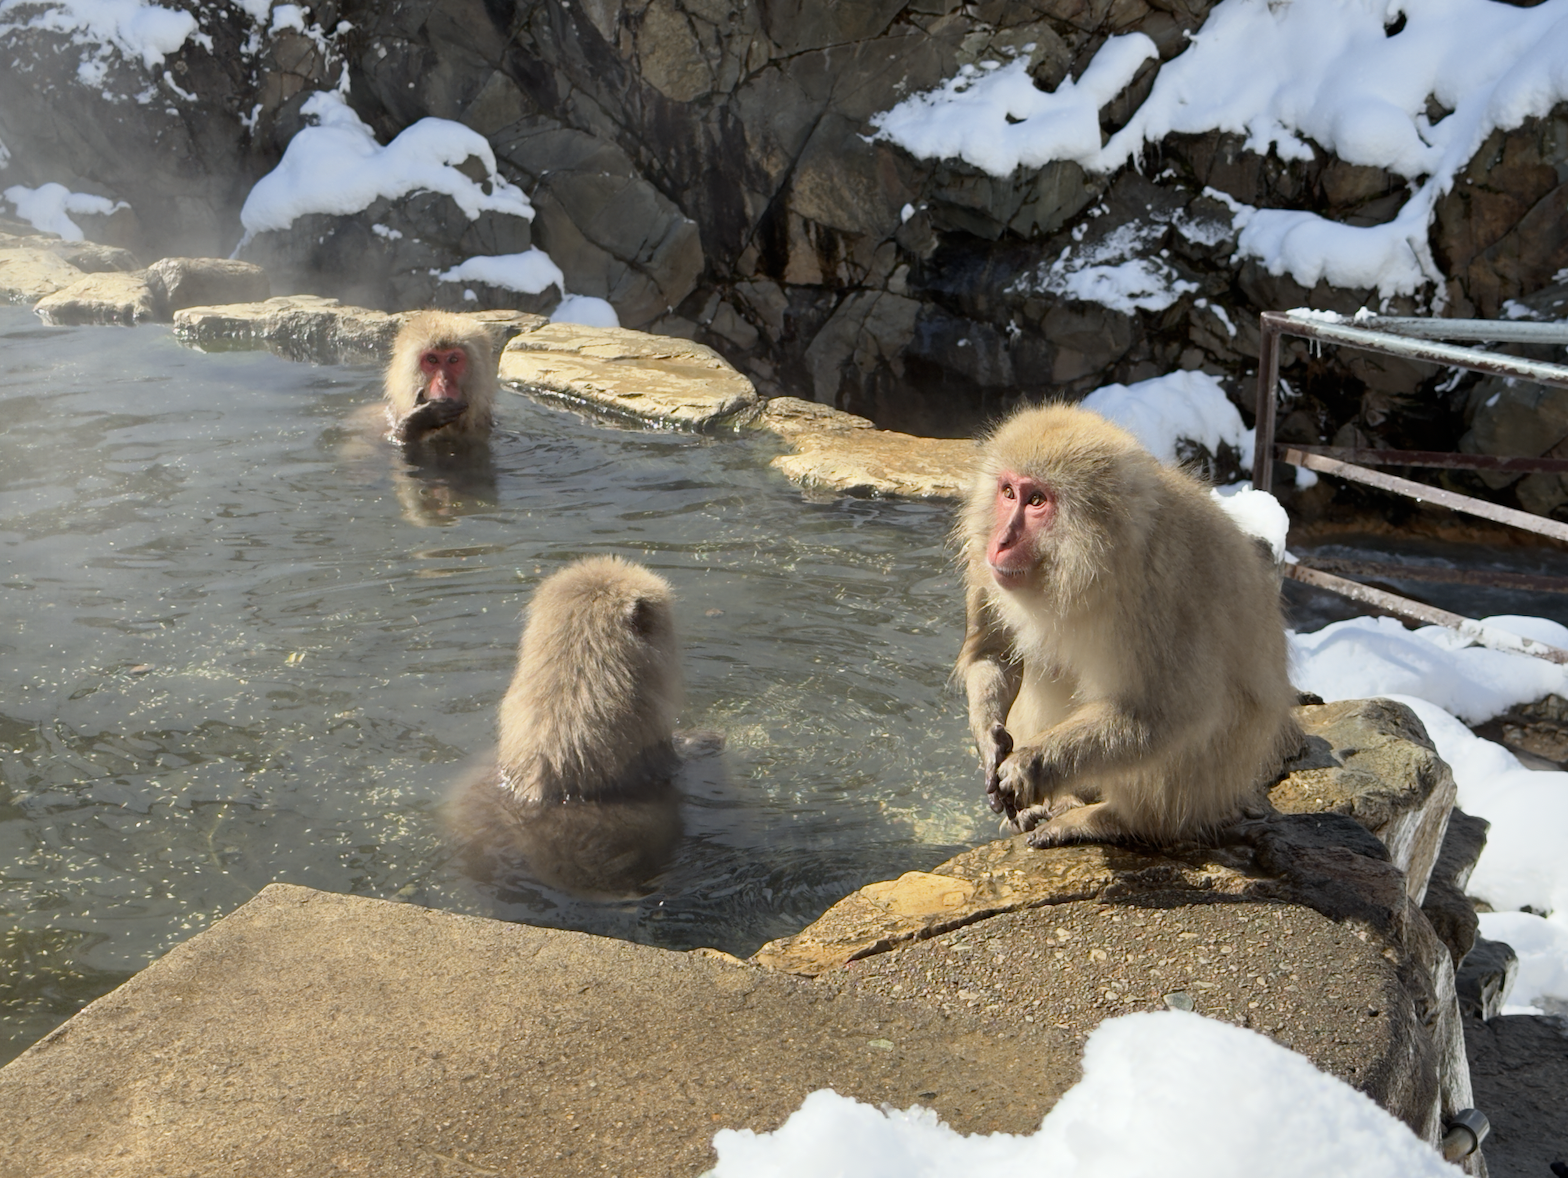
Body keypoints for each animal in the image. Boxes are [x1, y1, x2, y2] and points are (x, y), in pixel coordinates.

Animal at [956, 403, 1301, 849]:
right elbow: (992, 651)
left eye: (1037, 501)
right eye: (1008, 493)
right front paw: (990, 739)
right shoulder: (988, 569)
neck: (1094, 561)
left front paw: (1030, 765)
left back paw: (1116, 820)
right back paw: (1062, 801)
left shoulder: (1163, 591)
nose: (1000, 541)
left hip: (1211, 781)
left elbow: (1170, 714)